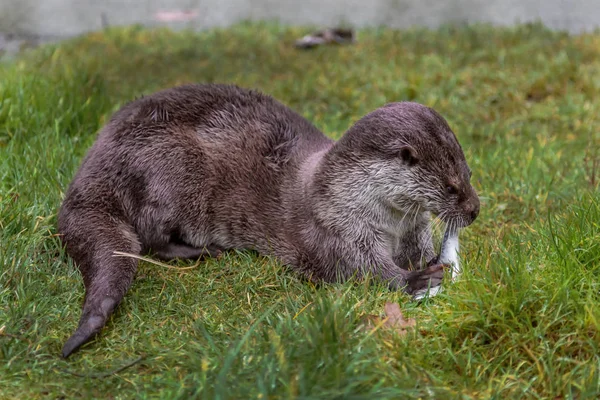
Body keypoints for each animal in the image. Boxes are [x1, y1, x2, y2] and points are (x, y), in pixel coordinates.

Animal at [56, 83, 478, 356]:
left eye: (469, 172)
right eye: (451, 186)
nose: (474, 210)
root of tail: (98, 155)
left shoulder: (411, 226)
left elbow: (416, 248)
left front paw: (432, 261)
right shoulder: (336, 227)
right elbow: (360, 269)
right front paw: (416, 278)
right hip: (172, 168)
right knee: (149, 234)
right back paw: (198, 251)